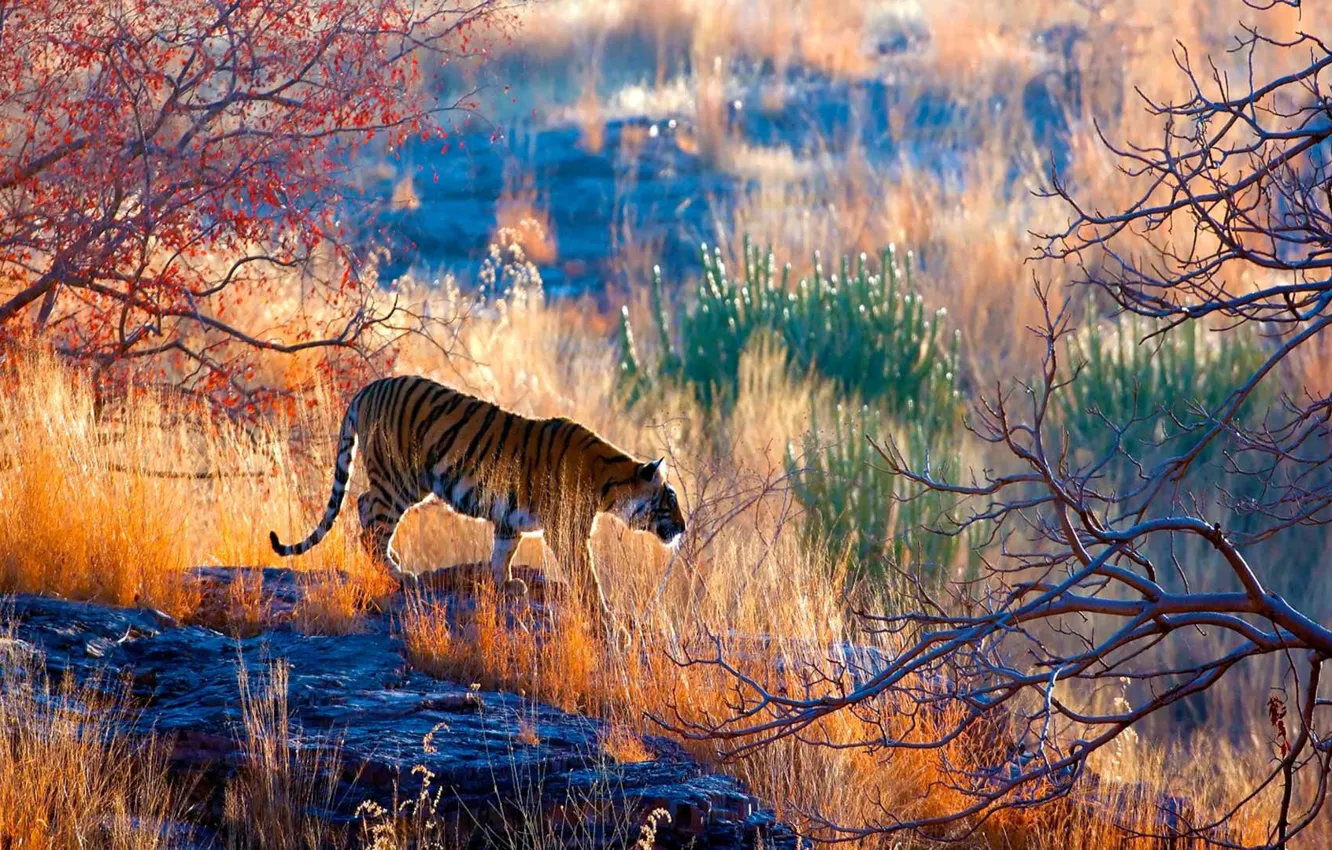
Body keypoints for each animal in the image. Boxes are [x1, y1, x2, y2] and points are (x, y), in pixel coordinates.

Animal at [268, 375, 686, 628]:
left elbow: (502, 553)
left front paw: (507, 585)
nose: (683, 528)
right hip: (400, 479)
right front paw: (606, 616)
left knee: (362, 506)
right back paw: (398, 573)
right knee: (370, 520)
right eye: (669, 499)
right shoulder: (567, 533)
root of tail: (370, 387)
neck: (610, 485)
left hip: (398, 480)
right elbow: (586, 576)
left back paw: (394, 560)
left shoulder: (510, 519)